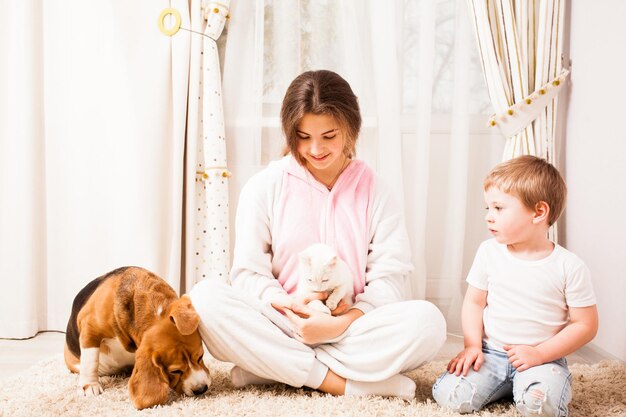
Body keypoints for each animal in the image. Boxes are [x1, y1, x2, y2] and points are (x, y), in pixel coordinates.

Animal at [63, 266, 211, 406]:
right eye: (175, 371)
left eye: (201, 357)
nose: (201, 389)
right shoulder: (90, 327)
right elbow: (90, 360)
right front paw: (89, 385)